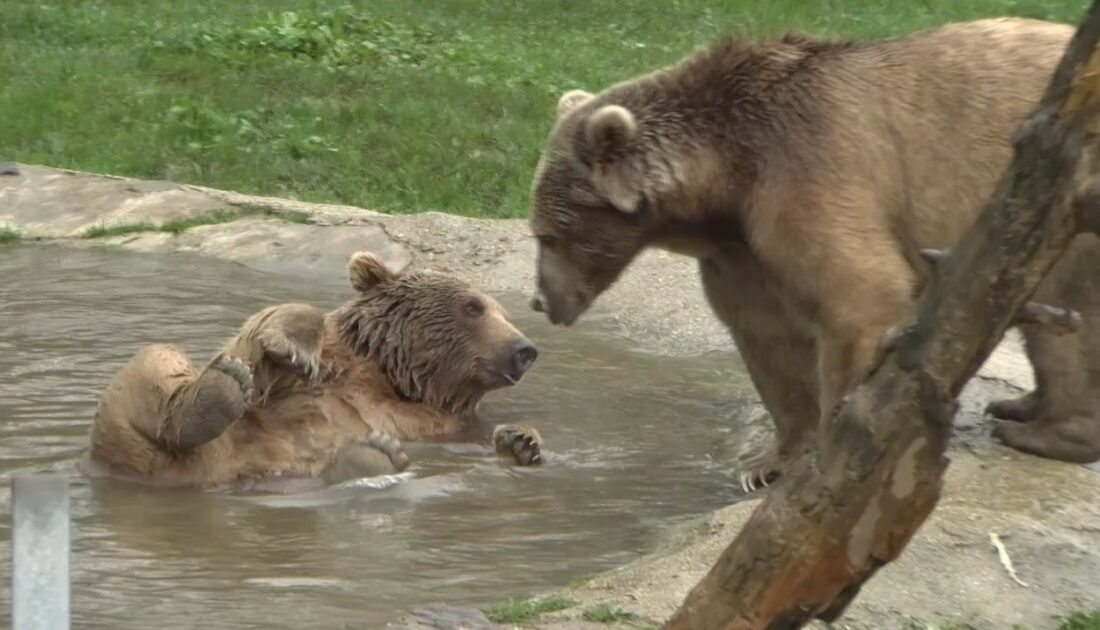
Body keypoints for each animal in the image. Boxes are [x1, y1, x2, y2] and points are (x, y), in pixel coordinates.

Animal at [79, 248, 543, 488]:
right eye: (474, 306)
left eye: (503, 312)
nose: (525, 348)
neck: (394, 377)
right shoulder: (328, 364)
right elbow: (271, 346)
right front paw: (292, 345)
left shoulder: (447, 424)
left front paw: (521, 439)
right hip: (136, 436)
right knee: (156, 363)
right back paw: (215, 394)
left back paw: (374, 456)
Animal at [525, 15, 1100, 490]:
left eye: (546, 234)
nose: (540, 300)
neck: (727, 179)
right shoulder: (741, 250)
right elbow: (768, 341)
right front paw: (766, 464)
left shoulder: (807, 168)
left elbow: (858, 297)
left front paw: (831, 450)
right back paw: (1020, 405)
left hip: (1065, 206)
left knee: (1068, 320)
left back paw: (1044, 431)